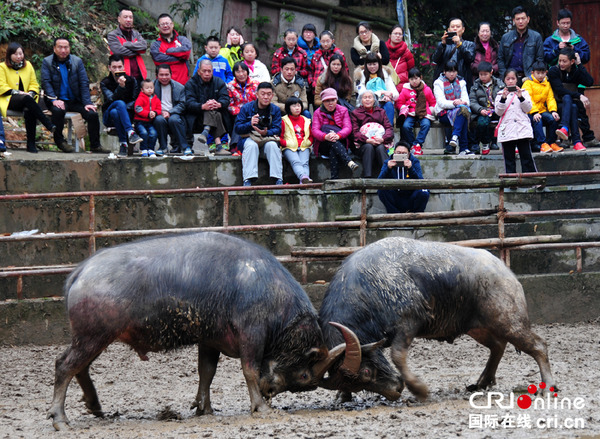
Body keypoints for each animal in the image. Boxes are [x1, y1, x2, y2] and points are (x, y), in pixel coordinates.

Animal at [47, 232, 346, 432]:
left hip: (93, 338)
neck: (270, 292)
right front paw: (260, 407)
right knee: (64, 365)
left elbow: (207, 372)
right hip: (93, 337)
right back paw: (60, 419)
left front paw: (205, 408)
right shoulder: (252, 334)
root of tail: (80, 272)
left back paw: (95, 407)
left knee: (80, 368)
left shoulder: (209, 340)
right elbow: (249, 370)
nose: (270, 391)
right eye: (305, 374)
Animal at [322, 239, 556, 404]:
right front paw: (342, 396)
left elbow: (397, 356)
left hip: (509, 321)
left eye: (367, 372)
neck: (368, 287)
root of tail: (506, 272)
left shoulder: (408, 324)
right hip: (477, 328)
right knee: (497, 346)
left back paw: (547, 388)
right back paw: (481, 383)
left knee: (538, 345)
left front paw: (419, 389)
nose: (395, 391)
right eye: (356, 383)